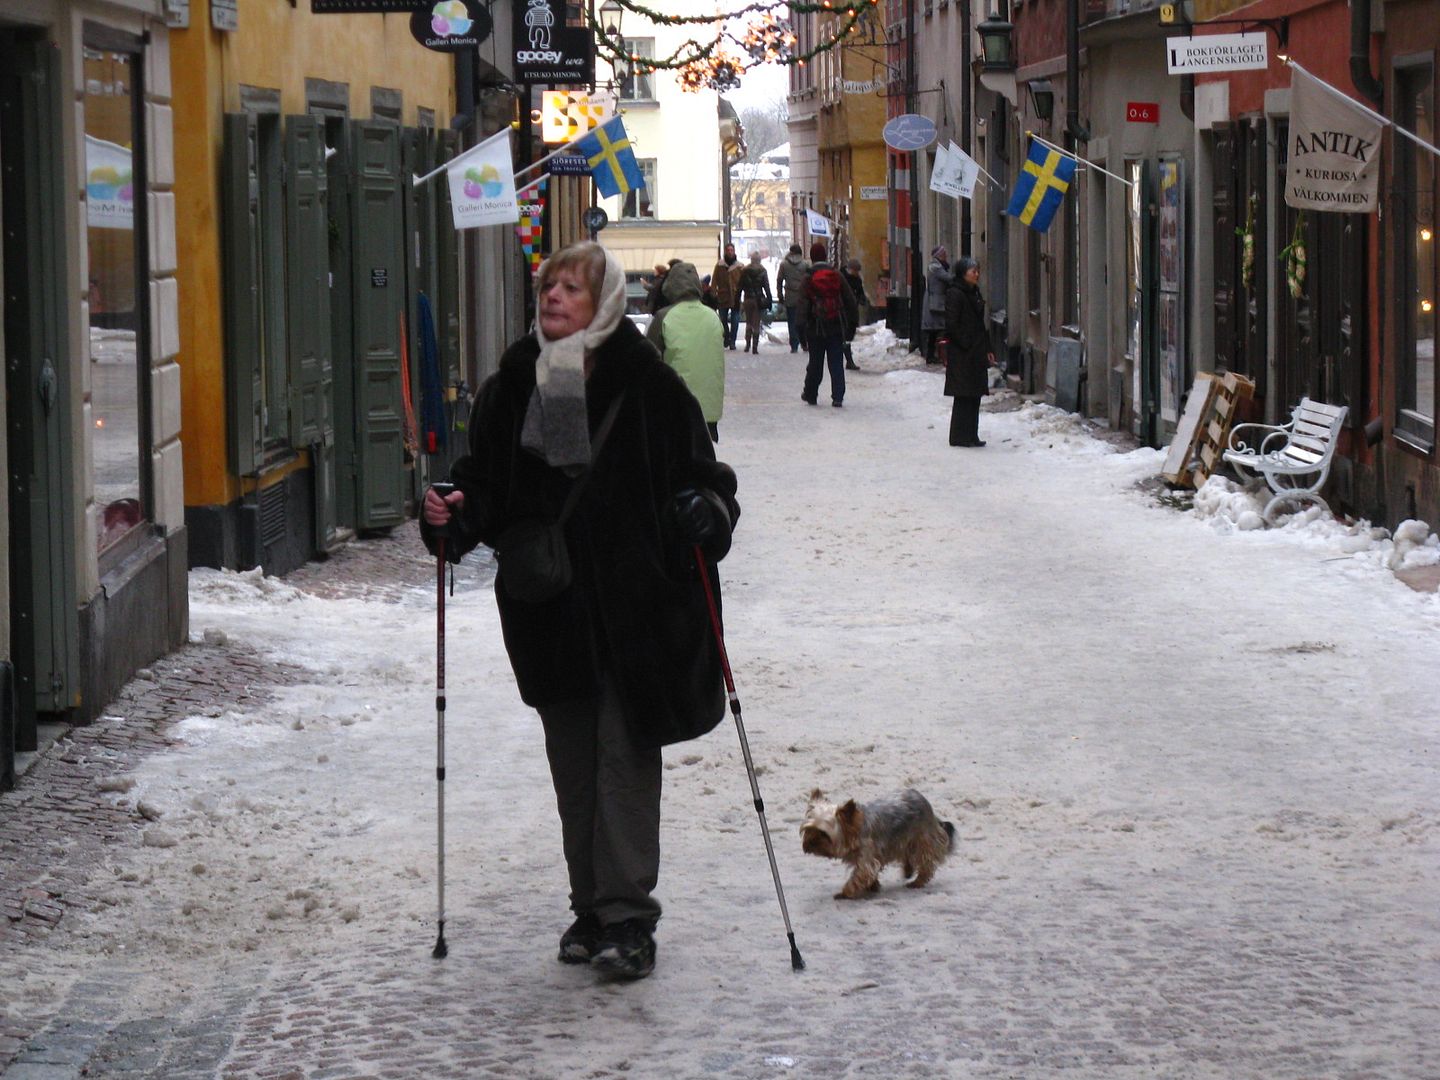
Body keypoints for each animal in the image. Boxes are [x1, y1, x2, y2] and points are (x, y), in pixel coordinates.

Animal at [800, 789, 956, 898]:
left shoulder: (866, 858)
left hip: (923, 838)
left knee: (926, 863)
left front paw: (845, 893)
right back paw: (908, 870)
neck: (854, 831)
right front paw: (873, 885)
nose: (809, 844)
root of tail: (921, 798)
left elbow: (860, 875)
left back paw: (917, 882)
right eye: (808, 830)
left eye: (823, 833)